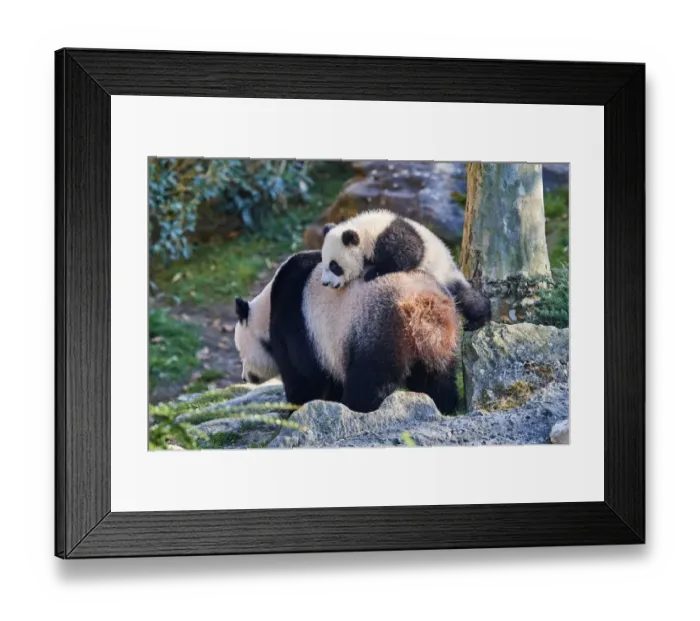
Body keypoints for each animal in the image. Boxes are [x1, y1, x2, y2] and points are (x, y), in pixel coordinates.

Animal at [234, 250, 460, 414]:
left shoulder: (296, 326)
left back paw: (354, 408)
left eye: (240, 353)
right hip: (438, 340)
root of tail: (420, 302)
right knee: (437, 376)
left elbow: (303, 376)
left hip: (377, 328)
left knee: (370, 379)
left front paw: (294, 410)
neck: (266, 309)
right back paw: (446, 406)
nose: (244, 377)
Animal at [320, 209, 491, 330]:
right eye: (324, 262)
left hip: (444, 272)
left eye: (334, 266)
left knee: (466, 298)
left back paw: (480, 319)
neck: (362, 230)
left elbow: (410, 253)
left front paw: (373, 272)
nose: (325, 283)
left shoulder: (386, 236)